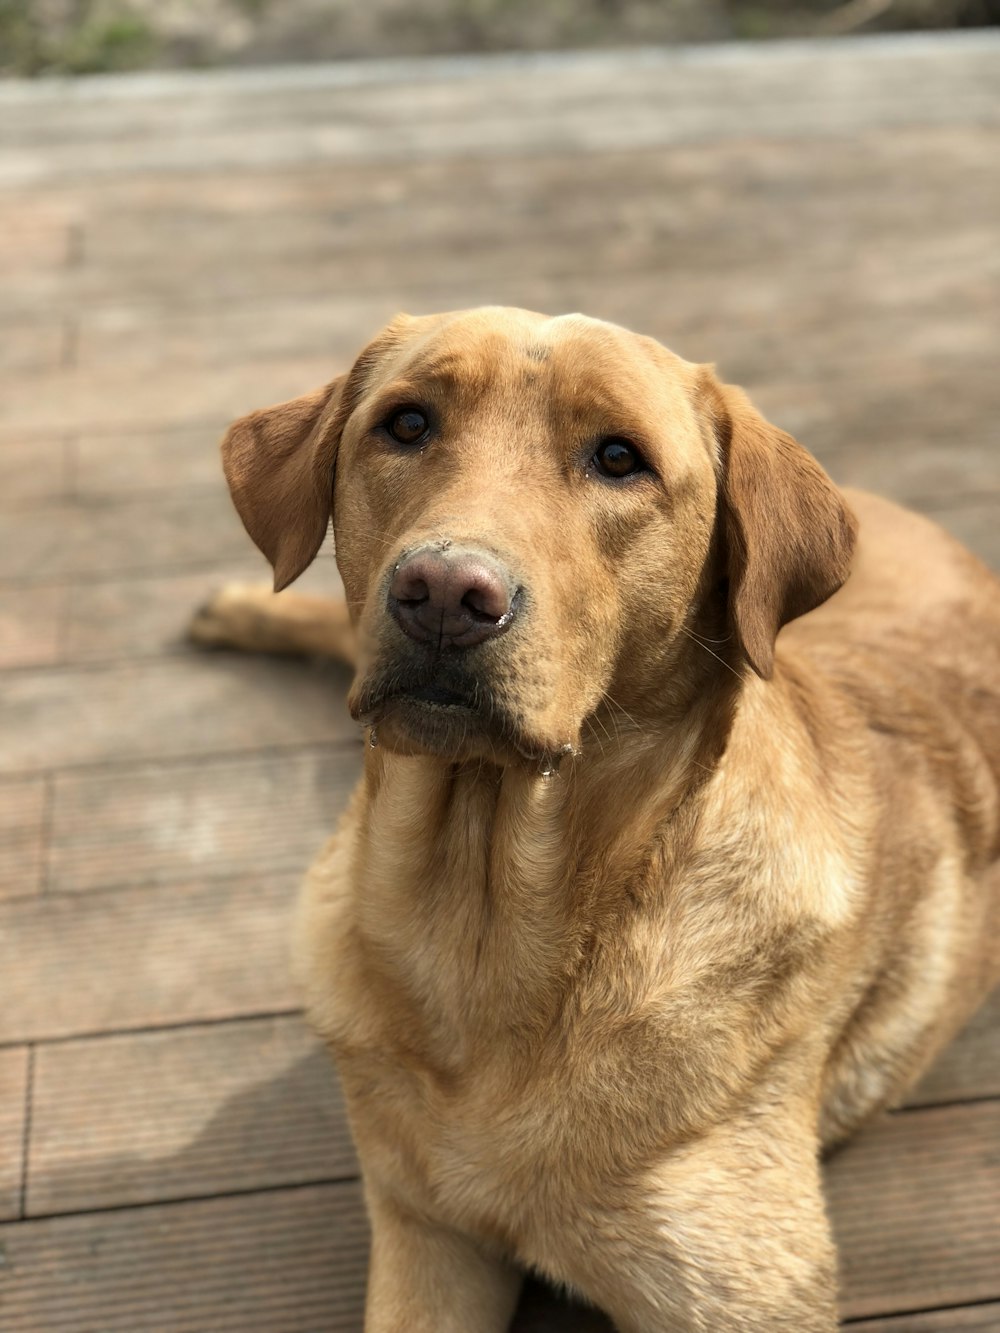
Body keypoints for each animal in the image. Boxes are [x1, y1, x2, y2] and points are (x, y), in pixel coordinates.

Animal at [193, 306, 1000, 1327]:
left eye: (619, 458)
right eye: (406, 424)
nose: (445, 593)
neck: (482, 924)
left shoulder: (741, 1296)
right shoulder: (423, 1234)